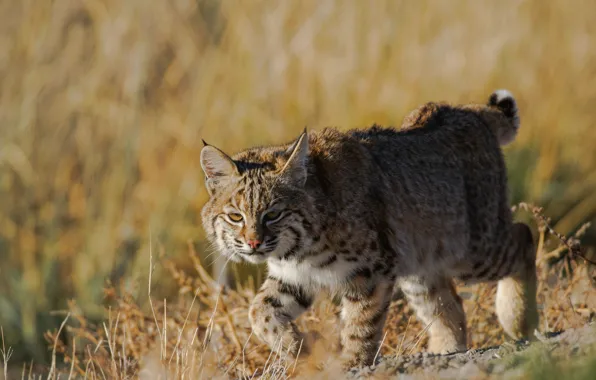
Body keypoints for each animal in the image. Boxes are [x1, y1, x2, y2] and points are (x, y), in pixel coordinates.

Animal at [199, 89, 536, 368]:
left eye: (273, 214)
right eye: (236, 217)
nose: (254, 244)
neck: (299, 246)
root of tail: (465, 109)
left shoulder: (371, 270)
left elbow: (361, 322)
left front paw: (352, 361)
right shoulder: (295, 274)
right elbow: (259, 311)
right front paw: (298, 347)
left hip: (471, 249)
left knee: (524, 235)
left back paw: (519, 319)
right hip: (420, 262)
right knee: (446, 301)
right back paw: (446, 349)